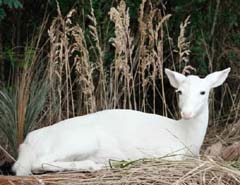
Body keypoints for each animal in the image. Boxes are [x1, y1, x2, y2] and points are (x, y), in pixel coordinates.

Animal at [12, 67, 230, 175]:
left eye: (203, 92)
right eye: (179, 92)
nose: (186, 113)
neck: (184, 136)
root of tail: (28, 143)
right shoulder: (166, 153)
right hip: (80, 140)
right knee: (39, 163)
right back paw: (95, 165)